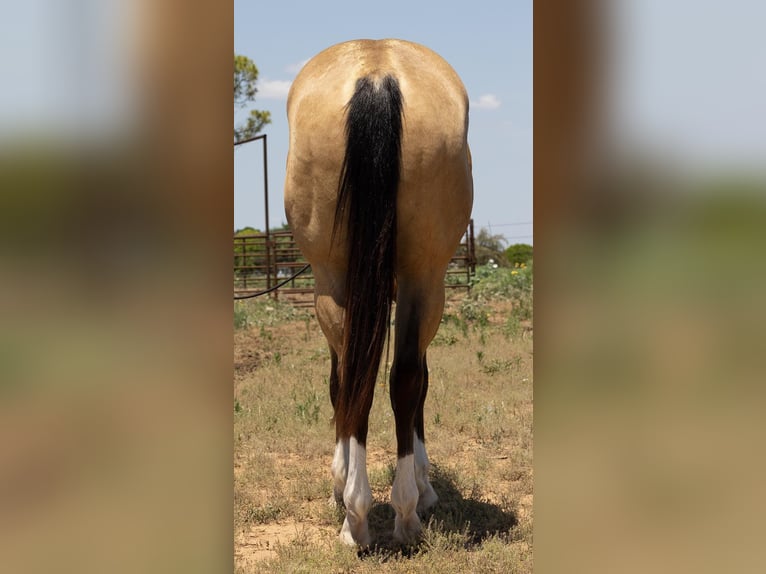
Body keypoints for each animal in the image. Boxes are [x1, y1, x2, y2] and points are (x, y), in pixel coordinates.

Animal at [284, 38, 474, 548]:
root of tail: (376, 72)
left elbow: (344, 385)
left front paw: (341, 481)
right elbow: (415, 380)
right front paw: (423, 487)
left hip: (336, 281)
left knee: (362, 379)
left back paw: (360, 514)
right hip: (423, 278)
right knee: (401, 377)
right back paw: (403, 512)